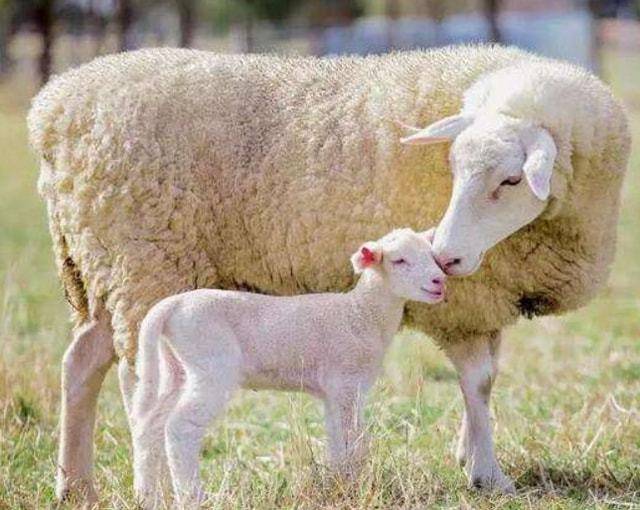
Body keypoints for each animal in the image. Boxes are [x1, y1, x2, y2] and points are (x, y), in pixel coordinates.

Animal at [131, 229, 444, 508]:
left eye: (431, 256)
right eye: (399, 260)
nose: (438, 280)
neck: (361, 314)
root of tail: (173, 304)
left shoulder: (334, 392)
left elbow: (337, 439)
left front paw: (339, 483)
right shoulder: (346, 383)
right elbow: (353, 440)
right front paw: (354, 485)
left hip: (176, 368)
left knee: (150, 426)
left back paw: (147, 497)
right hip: (211, 365)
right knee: (180, 426)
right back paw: (193, 497)